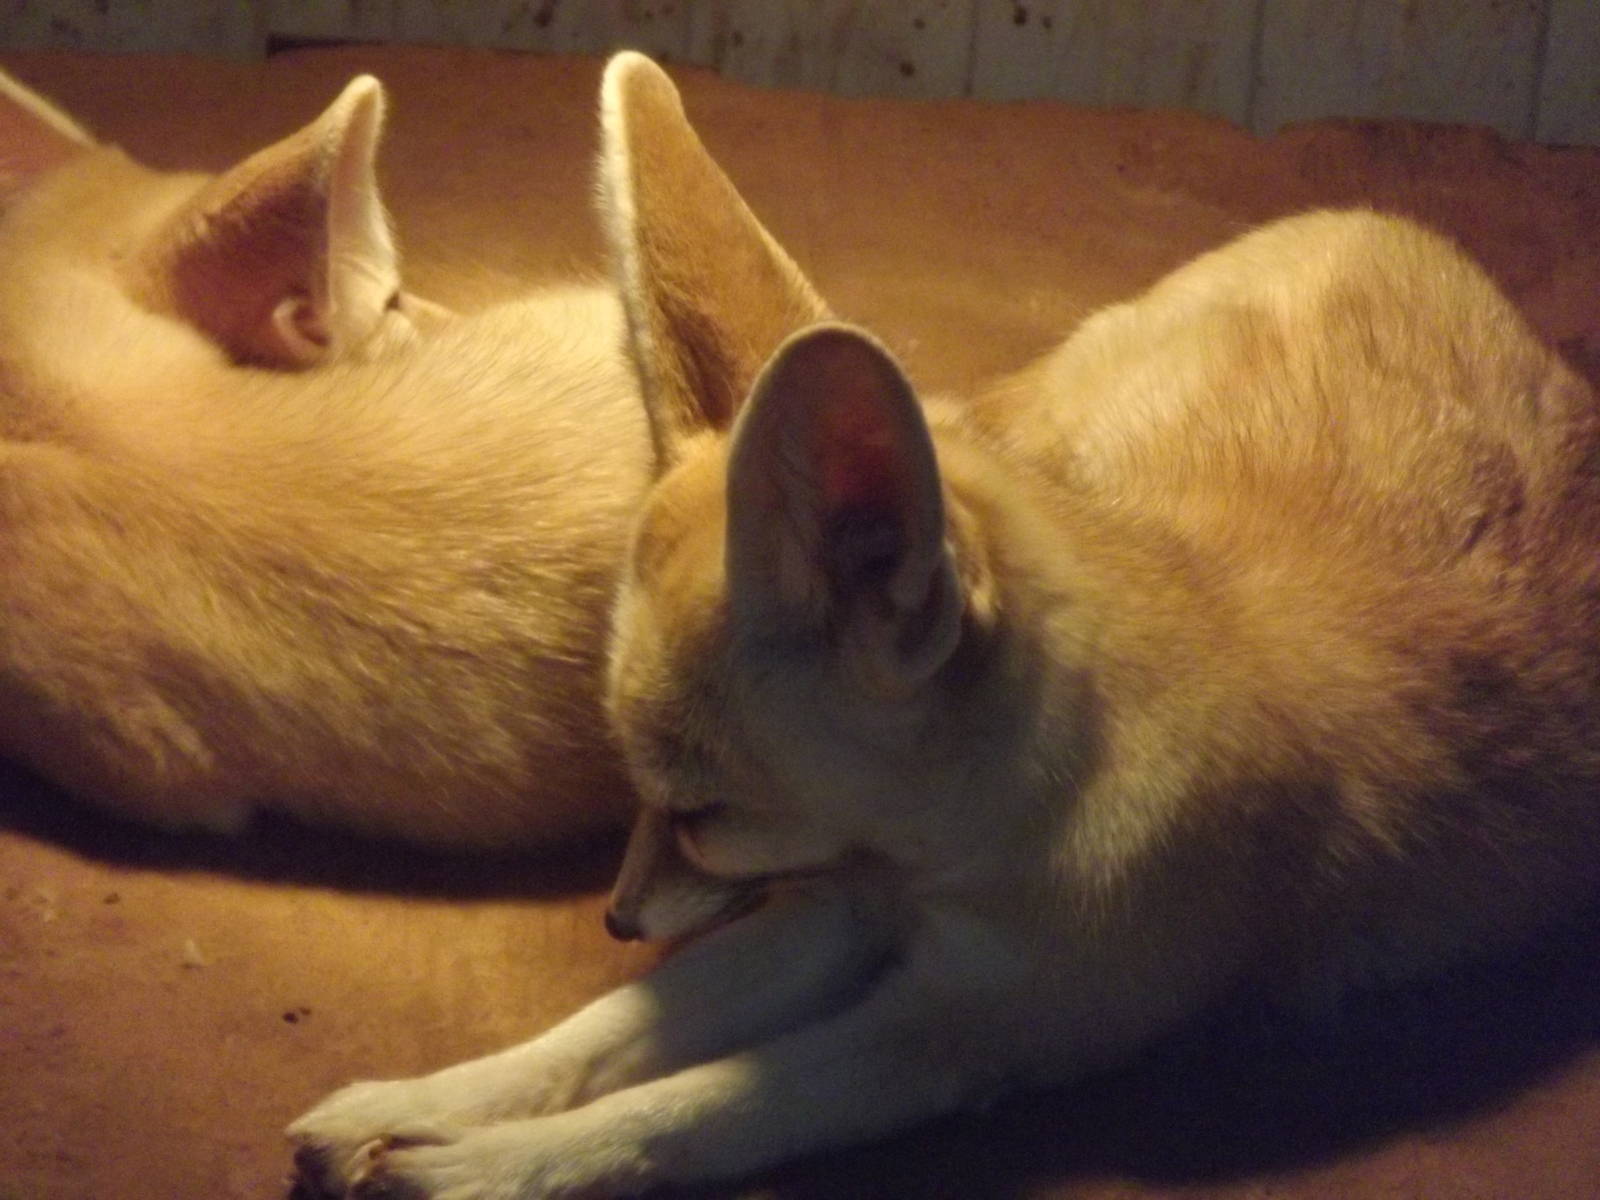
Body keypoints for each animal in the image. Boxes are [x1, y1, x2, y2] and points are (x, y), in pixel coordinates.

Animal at [289, 52, 1600, 1198]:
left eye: (705, 815)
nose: (613, 916)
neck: (979, 846)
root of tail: (1420, 245)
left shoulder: (968, 1027)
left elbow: (699, 1104)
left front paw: (490, 1166)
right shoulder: (843, 904)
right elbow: (607, 1031)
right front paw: (419, 1102)